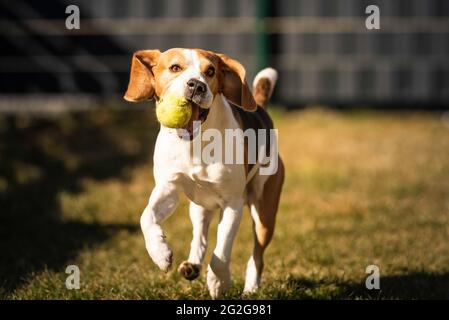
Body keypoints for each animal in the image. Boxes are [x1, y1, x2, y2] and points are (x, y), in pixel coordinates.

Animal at [122, 47, 284, 298]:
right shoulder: (168, 189)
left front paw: (218, 282)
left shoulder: (232, 205)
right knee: (200, 237)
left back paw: (251, 288)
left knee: (257, 255)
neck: (194, 144)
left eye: (210, 71)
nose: (196, 85)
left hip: (264, 213)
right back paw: (192, 265)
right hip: (199, 207)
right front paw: (160, 253)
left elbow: (222, 252)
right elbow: (146, 217)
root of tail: (262, 111)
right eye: (175, 67)